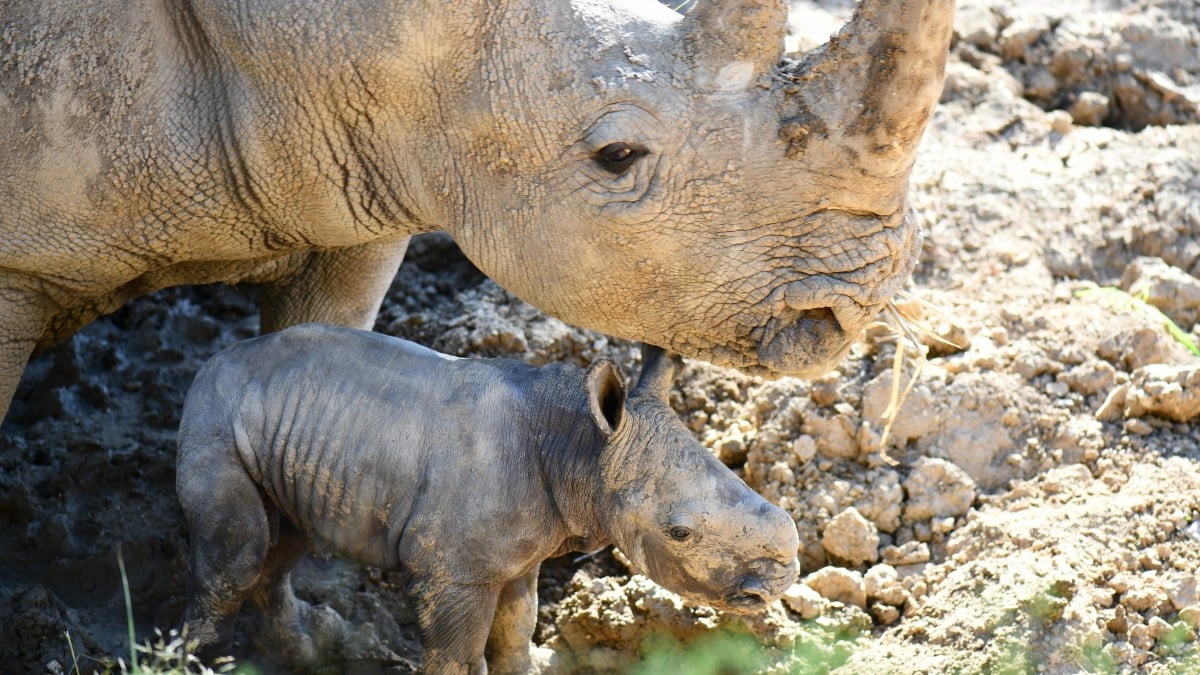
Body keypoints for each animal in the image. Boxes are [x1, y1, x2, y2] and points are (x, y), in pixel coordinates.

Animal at [175, 324, 796, 667]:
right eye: (679, 532)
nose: (780, 579)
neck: (580, 446)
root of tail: (217, 355)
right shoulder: (450, 573)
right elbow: (457, 653)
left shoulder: (521, 554)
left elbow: (515, 632)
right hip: (214, 414)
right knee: (239, 555)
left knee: (284, 543)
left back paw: (303, 652)